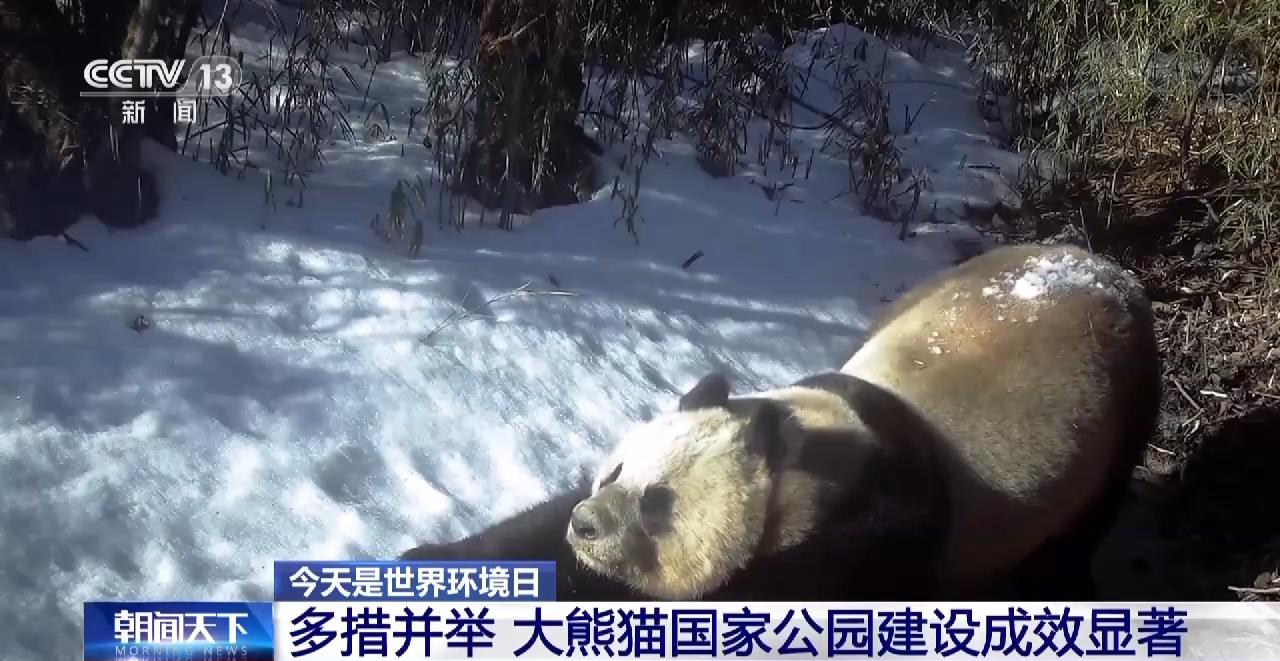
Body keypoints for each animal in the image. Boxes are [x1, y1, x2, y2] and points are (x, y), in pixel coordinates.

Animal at [568, 243, 1162, 604]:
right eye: (614, 472)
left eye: (659, 502)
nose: (585, 523)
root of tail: (1099, 262)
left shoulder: (869, 538)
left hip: (1126, 406)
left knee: (1084, 526)